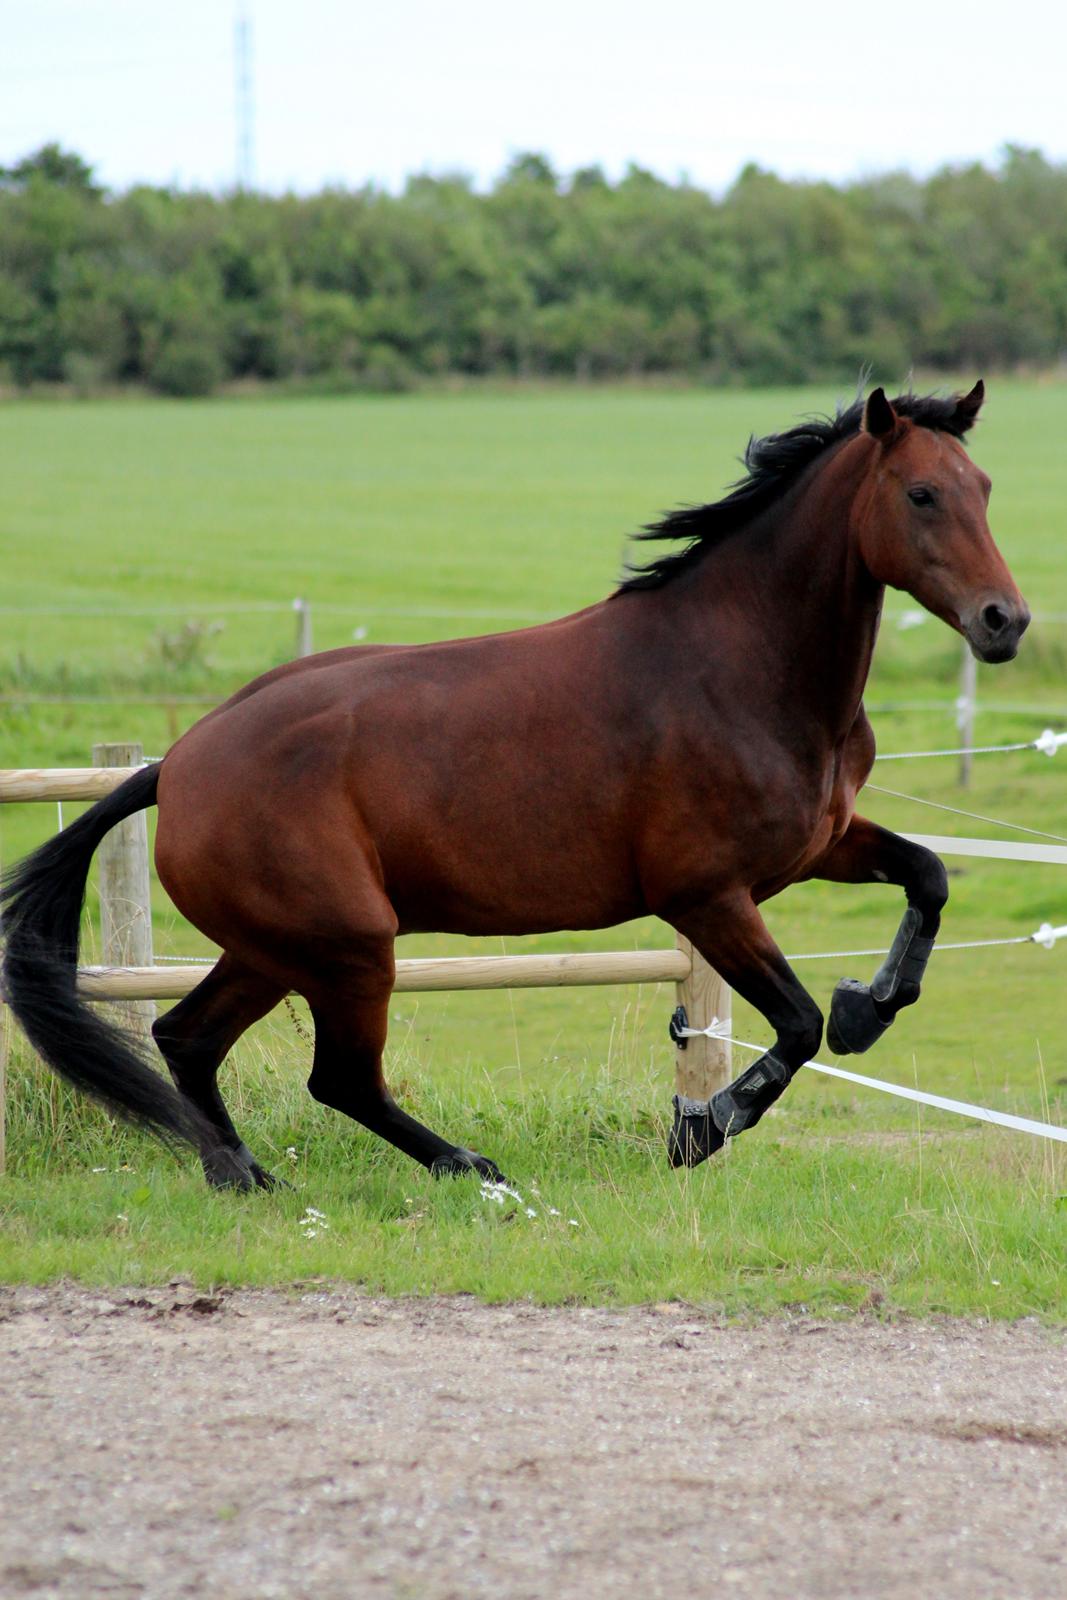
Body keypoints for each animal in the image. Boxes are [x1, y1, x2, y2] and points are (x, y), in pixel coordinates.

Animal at [2, 380, 1036, 1184]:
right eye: (919, 494)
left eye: (983, 488)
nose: (1005, 622)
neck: (742, 668)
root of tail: (176, 766)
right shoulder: (706, 895)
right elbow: (794, 1024)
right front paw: (701, 1128)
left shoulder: (818, 848)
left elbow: (927, 877)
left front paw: (873, 1003)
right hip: (348, 947)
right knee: (337, 1078)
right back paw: (468, 1169)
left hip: (277, 947)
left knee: (188, 1038)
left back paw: (242, 1172)